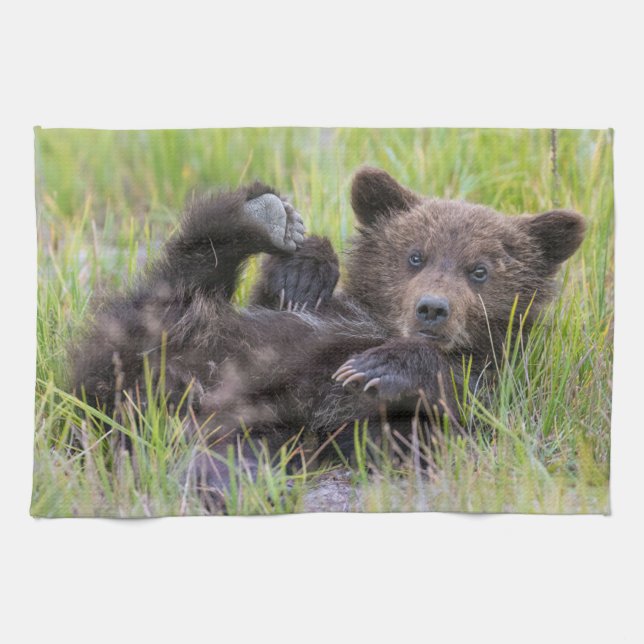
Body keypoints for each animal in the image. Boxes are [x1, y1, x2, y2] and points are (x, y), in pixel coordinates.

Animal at [72, 167, 586, 508]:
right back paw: (259, 216)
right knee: (179, 279)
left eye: (479, 270)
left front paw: (378, 367)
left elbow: (463, 408)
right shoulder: (313, 312)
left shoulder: (497, 379)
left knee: (220, 452)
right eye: (414, 256)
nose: (432, 309)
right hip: (160, 333)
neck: (379, 324)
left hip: (251, 426)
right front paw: (304, 271)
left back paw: (234, 482)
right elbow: (283, 297)